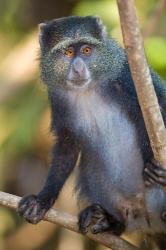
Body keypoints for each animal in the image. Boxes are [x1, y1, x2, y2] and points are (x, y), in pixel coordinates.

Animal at [17, 16, 166, 237]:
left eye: (86, 50)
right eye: (69, 53)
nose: (78, 68)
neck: (88, 89)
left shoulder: (127, 74)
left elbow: (158, 109)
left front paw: (154, 167)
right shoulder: (57, 98)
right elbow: (67, 145)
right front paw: (42, 199)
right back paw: (107, 221)